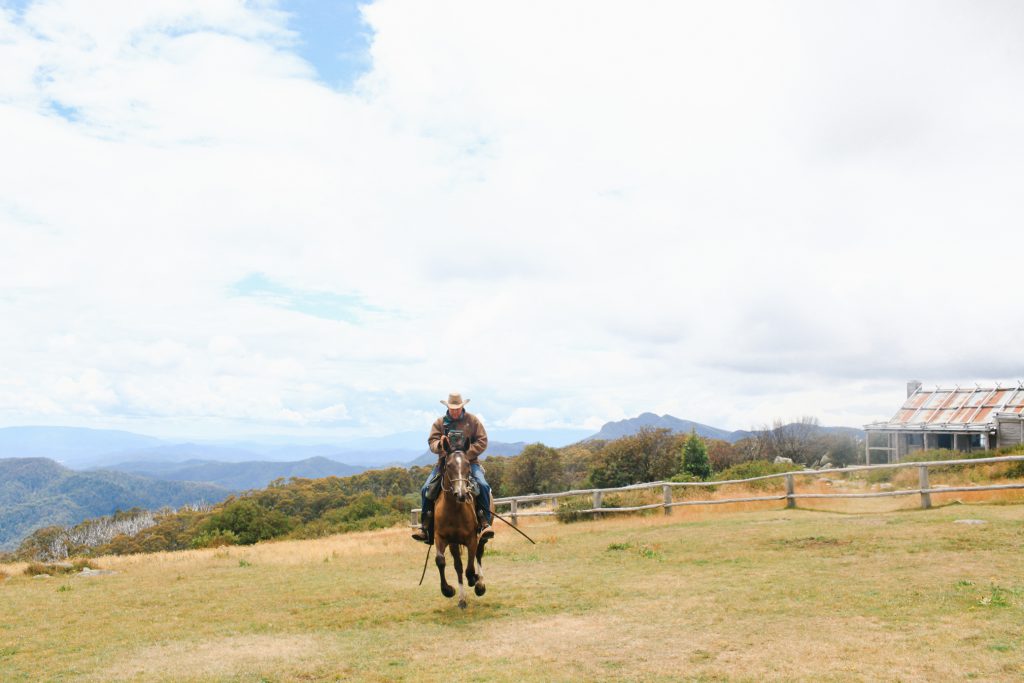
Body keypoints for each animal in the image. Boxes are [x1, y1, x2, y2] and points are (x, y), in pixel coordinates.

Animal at [432, 448, 491, 610]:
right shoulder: (443, 538)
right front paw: (448, 590)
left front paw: (475, 581)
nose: (461, 494)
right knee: (458, 567)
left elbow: (470, 568)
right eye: (449, 465)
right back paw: (462, 599)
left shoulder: (471, 539)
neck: (453, 510)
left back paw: (480, 583)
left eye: (468, 465)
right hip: (454, 544)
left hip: (481, 537)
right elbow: (441, 561)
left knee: (478, 554)